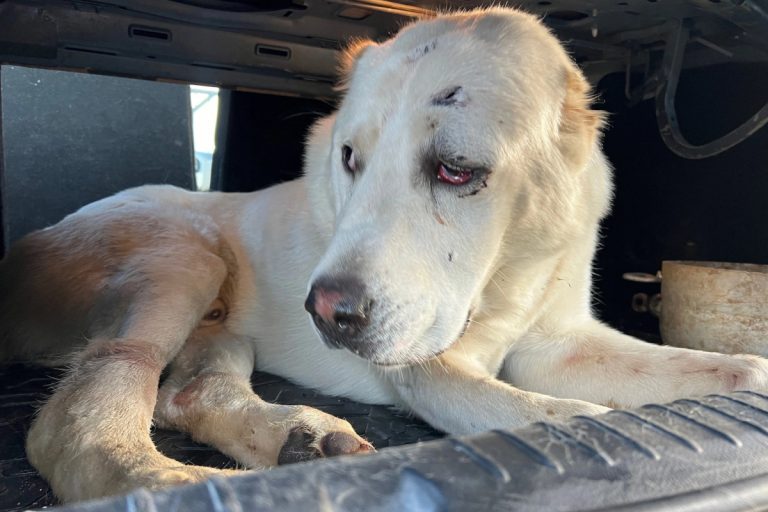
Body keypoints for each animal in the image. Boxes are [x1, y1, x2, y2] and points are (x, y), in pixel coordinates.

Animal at [1, 7, 768, 504]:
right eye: (349, 158)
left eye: (456, 169)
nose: (325, 313)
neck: (507, 274)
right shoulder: (434, 369)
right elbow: (554, 418)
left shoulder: (563, 344)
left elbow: (709, 368)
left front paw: (744, 376)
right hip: (183, 256)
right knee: (84, 423)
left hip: (221, 328)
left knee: (186, 392)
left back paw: (299, 438)